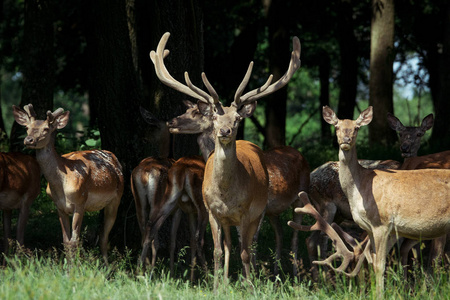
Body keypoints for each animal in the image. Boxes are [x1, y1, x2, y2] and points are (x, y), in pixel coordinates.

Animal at [13, 104, 125, 262]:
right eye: (27, 127)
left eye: (46, 129)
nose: (28, 140)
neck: (61, 185)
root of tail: (114, 158)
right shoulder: (59, 206)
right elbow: (66, 241)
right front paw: (68, 265)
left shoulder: (80, 202)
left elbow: (74, 241)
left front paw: (75, 266)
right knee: (101, 233)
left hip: (117, 198)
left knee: (104, 236)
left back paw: (106, 264)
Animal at [149, 31, 300, 284]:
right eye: (215, 118)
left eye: (237, 119)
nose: (225, 131)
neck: (226, 193)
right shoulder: (213, 211)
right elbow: (218, 251)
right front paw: (217, 285)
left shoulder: (248, 213)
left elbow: (246, 251)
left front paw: (250, 284)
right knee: (230, 244)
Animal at [292, 105, 450, 296]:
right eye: (336, 126)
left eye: (357, 127)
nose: (346, 139)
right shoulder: (370, 227)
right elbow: (373, 261)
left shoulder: (382, 223)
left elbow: (380, 264)